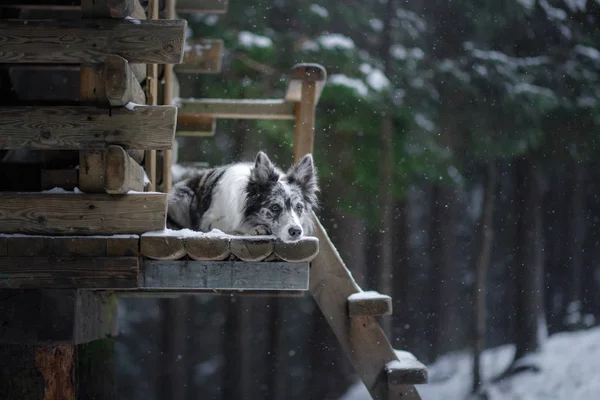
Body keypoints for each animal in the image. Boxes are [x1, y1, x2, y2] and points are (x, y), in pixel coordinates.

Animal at [166, 152, 318, 242]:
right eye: (275, 207)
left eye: (299, 207)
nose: (296, 231)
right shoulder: (209, 221)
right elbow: (234, 225)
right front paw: (255, 228)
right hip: (181, 198)